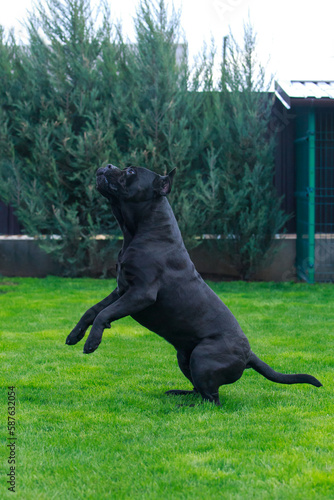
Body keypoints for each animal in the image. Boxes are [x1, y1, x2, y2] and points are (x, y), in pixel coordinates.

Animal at [64, 165, 322, 406]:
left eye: (130, 172)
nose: (107, 166)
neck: (140, 231)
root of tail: (249, 354)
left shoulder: (141, 293)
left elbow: (104, 313)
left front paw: (91, 342)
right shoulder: (121, 290)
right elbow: (93, 311)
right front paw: (75, 335)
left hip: (201, 358)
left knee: (212, 400)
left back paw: (183, 405)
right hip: (184, 357)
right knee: (200, 391)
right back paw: (179, 394)